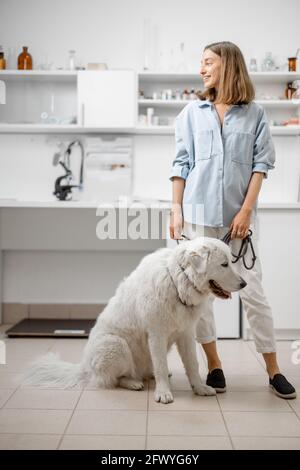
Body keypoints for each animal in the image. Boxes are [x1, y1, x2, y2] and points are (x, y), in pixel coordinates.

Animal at [25, 239, 246, 404]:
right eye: (224, 264)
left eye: (231, 261)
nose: (244, 284)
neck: (177, 281)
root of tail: (84, 368)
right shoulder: (157, 334)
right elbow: (161, 367)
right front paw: (163, 393)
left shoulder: (186, 335)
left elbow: (192, 364)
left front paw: (199, 388)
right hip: (116, 345)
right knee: (112, 379)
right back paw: (133, 383)